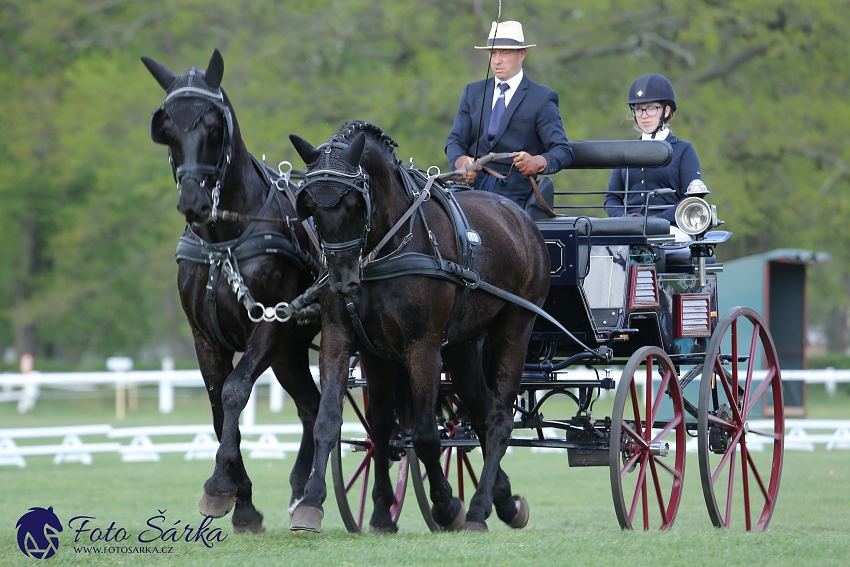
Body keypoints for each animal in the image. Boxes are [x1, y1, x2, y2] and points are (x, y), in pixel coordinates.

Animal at [142, 51, 322, 536]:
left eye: (213, 126)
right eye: (166, 128)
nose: (193, 203)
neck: (225, 239)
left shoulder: (270, 327)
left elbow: (235, 393)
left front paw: (220, 486)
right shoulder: (205, 338)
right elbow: (217, 405)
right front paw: (241, 502)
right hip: (291, 353)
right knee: (311, 407)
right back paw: (301, 491)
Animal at [286, 122, 548, 536]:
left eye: (354, 203)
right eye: (309, 206)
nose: (343, 282)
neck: (387, 244)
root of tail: (521, 218)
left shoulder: (422, 348)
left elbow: (425, 436)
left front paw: (446, 506)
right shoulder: (350, 341)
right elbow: (354, 424)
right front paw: (325, 506)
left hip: (515, 328)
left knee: (499, 419)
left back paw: (476, 511)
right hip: (461, 346)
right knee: (479, 410)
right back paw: (503, 502)